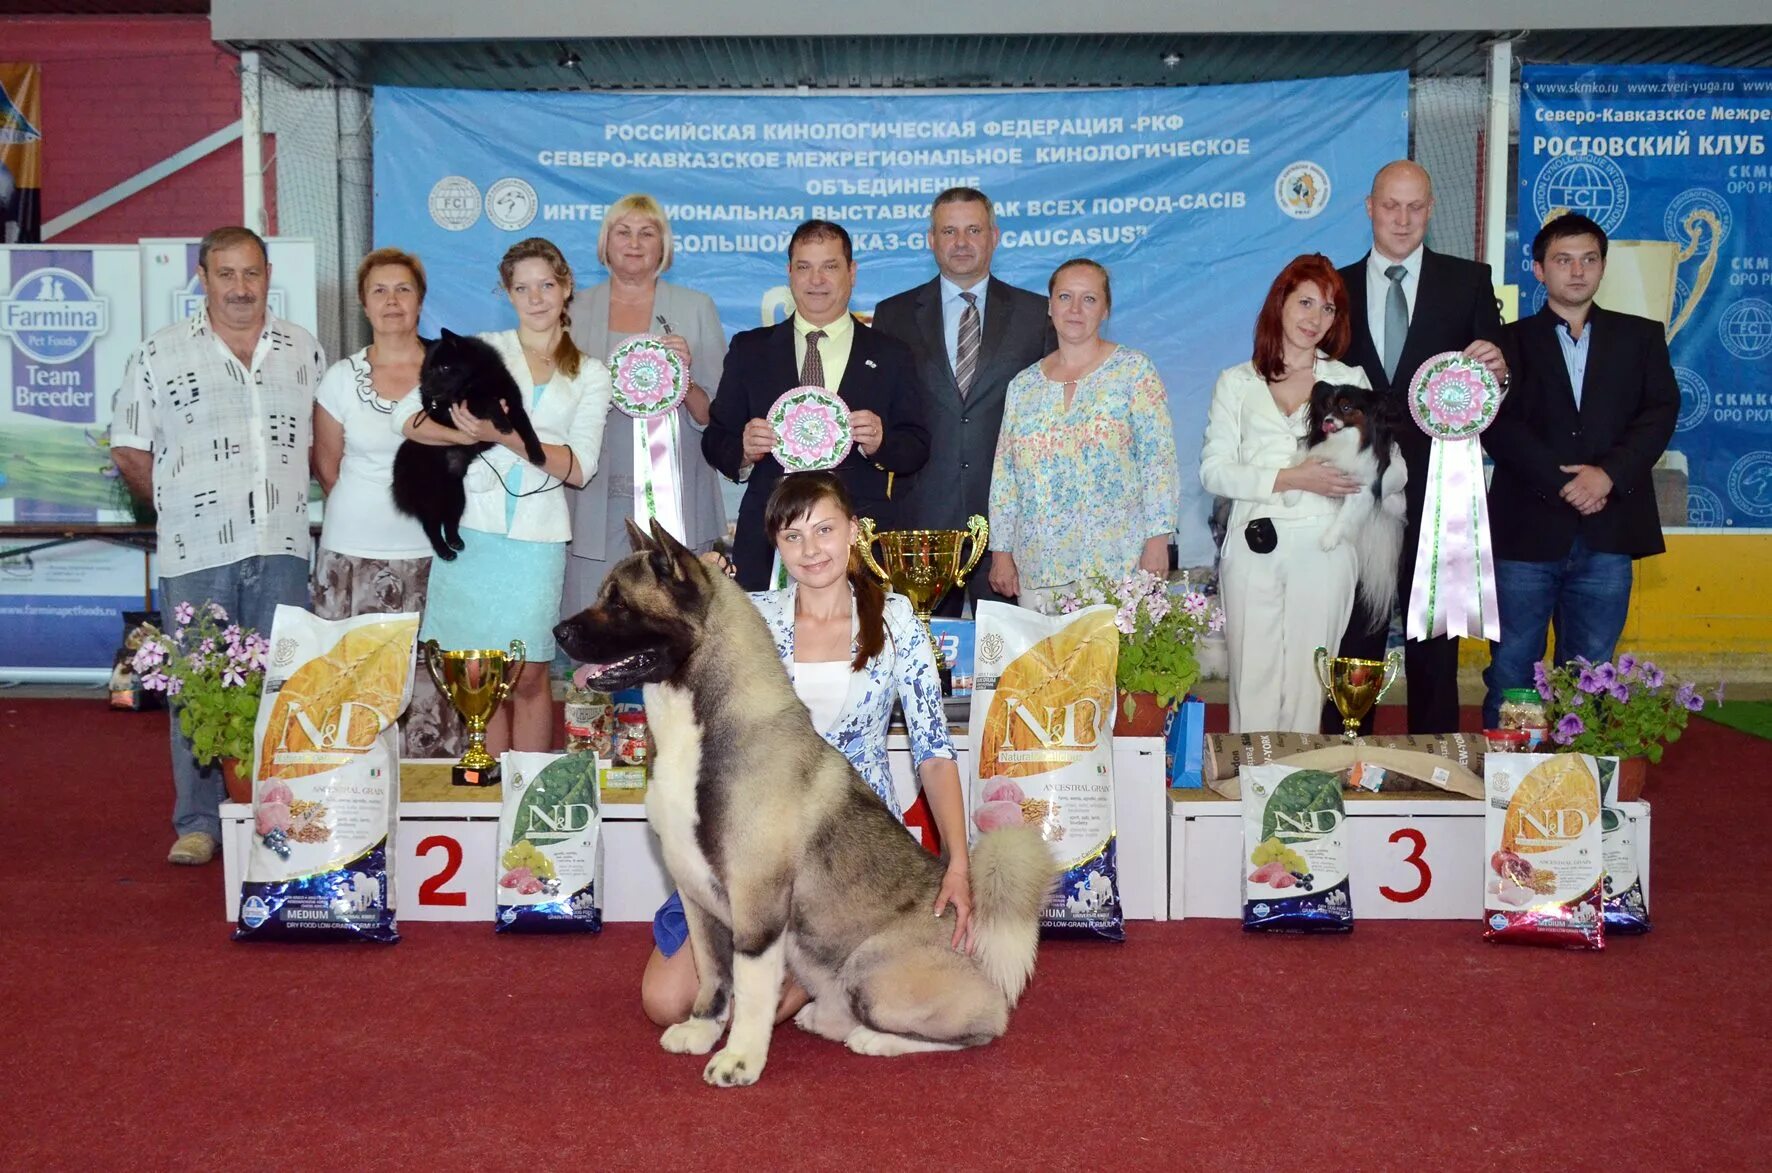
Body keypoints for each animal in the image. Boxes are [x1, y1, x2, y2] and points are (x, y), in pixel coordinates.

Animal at [393, 327, 545, 563]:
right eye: (428, 369)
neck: (479, 381)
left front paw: (537, 453)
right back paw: (444, 551)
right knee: (431, 526)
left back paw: (455, 542)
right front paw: (502, 423)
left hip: (456, 496)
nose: (424, 389)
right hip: (431, 498)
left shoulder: (514, 405)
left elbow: (528, 430)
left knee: (450, 521)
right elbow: (489, 402)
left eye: (445, 368)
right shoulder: (465, 404)